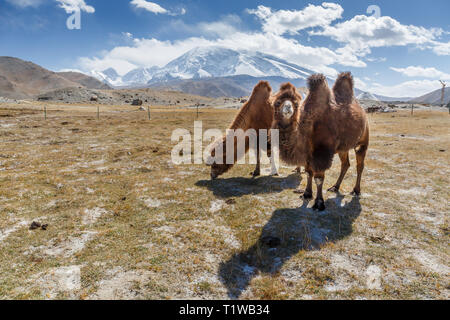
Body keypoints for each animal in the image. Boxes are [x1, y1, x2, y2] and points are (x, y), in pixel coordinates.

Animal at [270, 73, 370, 211]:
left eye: (296, 103)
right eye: (277, 102)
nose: (288, 108)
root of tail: (363, 112)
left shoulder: (322, 153)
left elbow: (318, 178)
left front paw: (319, 203)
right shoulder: (308, 153)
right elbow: (308, 173)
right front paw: (306, 194)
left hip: (362, 141)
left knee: (360, 165)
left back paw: (356, 190)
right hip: (343, 148)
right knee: (345, 164)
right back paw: (335, 187)